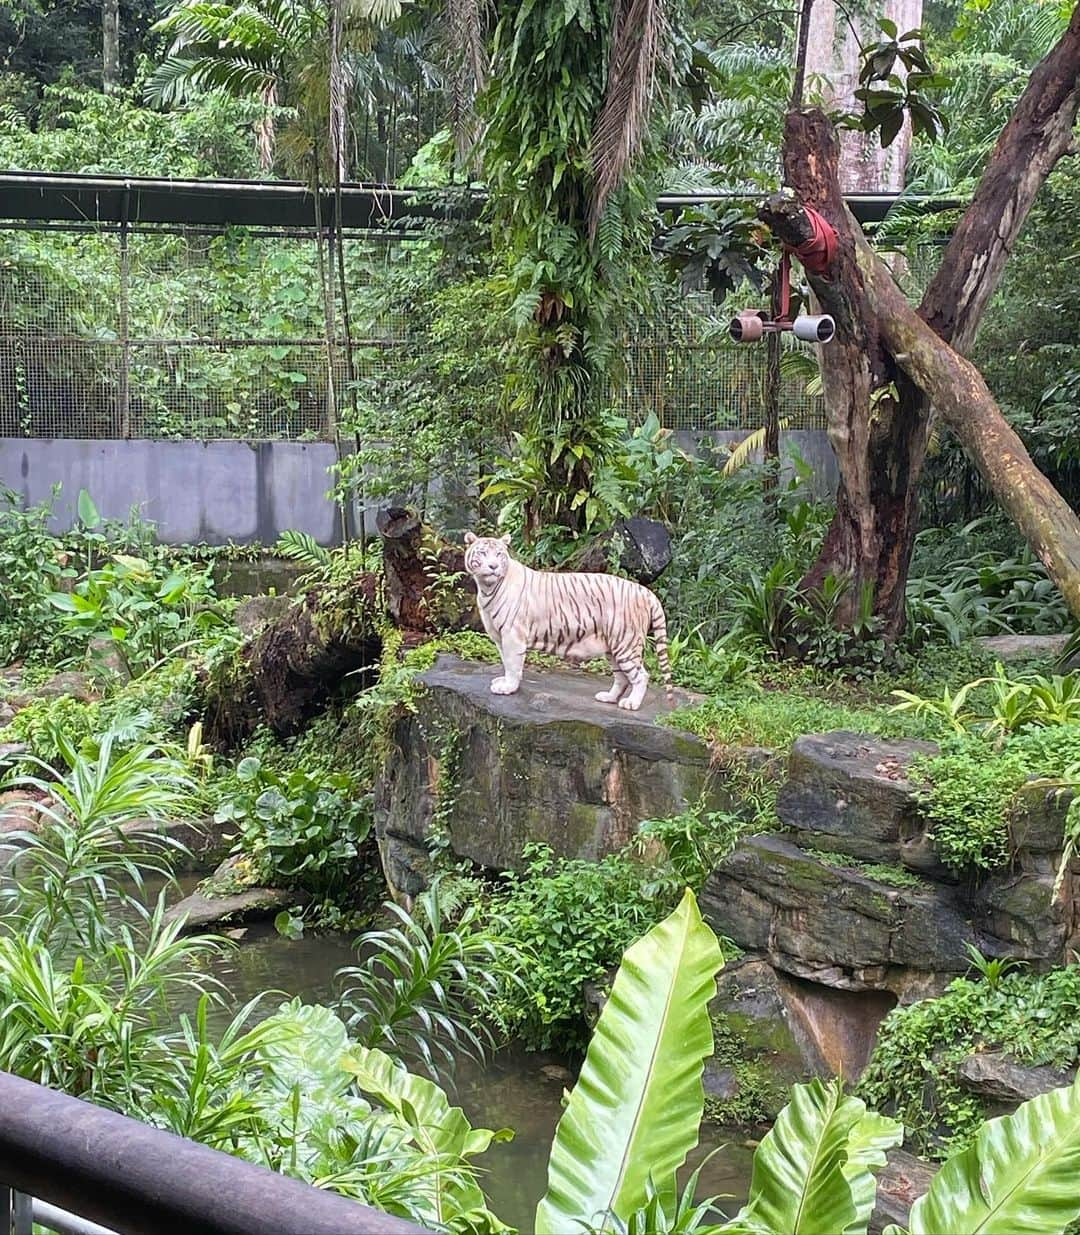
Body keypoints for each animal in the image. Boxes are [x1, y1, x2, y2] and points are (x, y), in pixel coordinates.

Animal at [459, 533, 667, 716]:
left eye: (499, 554)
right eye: (482, 553)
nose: (493, 566)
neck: (487, 588)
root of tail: (644, 590)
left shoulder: (512, 635)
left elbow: (512, 663)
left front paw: (508, 687)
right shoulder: (499, 636)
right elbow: (505, 661)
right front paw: (504, 681)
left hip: (626, 643)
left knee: (641, 676)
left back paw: (631, 704)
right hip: (614, 647)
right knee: (622, 677)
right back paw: (608, 697)